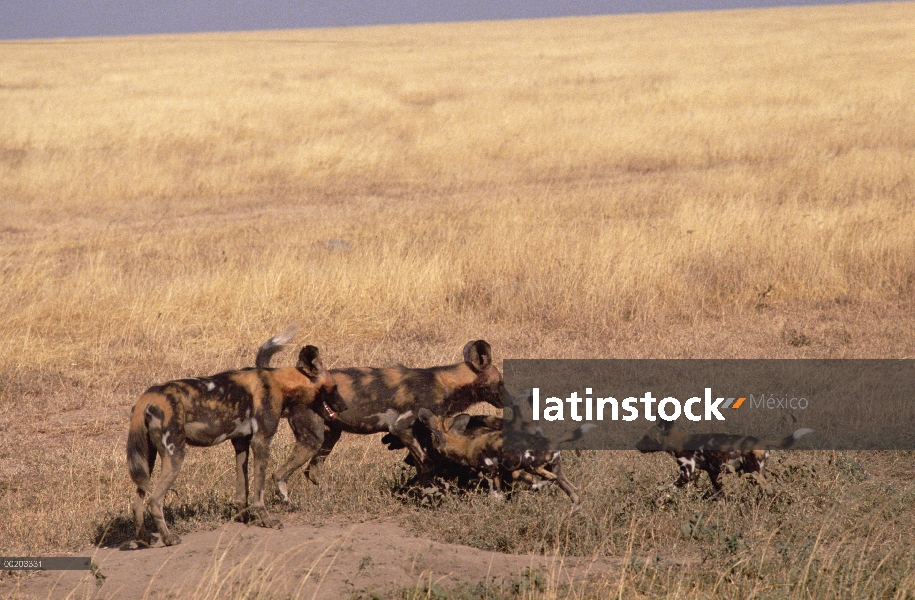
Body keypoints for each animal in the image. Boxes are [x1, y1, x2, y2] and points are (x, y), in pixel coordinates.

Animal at [125, 340, 348, 548]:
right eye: (335, 387)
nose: (345, 406)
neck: (279, 382)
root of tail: (148, 397)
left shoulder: (241, 443)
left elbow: (243, 490)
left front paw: (245, 518)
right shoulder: (261, 442)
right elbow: (259, 491)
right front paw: (266, 520)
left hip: (147, 461)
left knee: (138, 501)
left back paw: (144, 538)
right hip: (175, 456)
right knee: (155, 500)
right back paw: (168, 539)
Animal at [262, 338, 508, 502]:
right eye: (501, 382)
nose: (511, 397)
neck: (446, 384)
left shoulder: (420, 433)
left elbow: (427, 467)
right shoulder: (400, 428)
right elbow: (428, 465)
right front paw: (421, 495)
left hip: (329, 437)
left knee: (311, 471)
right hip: (312, 440)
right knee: (279, 474)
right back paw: (286, 502)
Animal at [636, 420, 816, 494]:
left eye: (646, 437)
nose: (636, 445)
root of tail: (761, 440)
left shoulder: (687, 473)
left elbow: (667, 489)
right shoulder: (713, 473)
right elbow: (718, 492)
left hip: (753, 473)